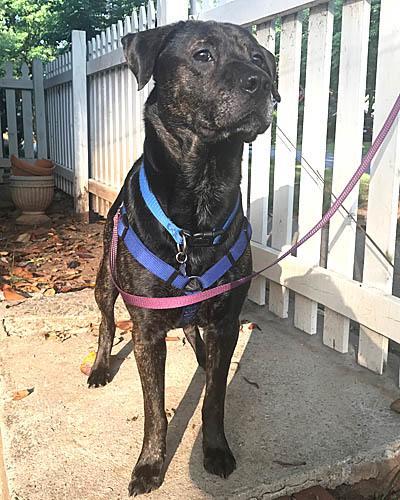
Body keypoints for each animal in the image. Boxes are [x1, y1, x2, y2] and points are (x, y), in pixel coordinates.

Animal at [88, 19, 278, 496]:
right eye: (202, 54)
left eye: (257, 58)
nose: (261, 82)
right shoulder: (146, 331)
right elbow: (155, 410)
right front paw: (150, 465)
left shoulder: (227, 319)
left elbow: (214, 398)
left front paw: (215, 450)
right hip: (104, 282)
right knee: (105, 320)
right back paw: (99, 367)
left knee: (198, 337)